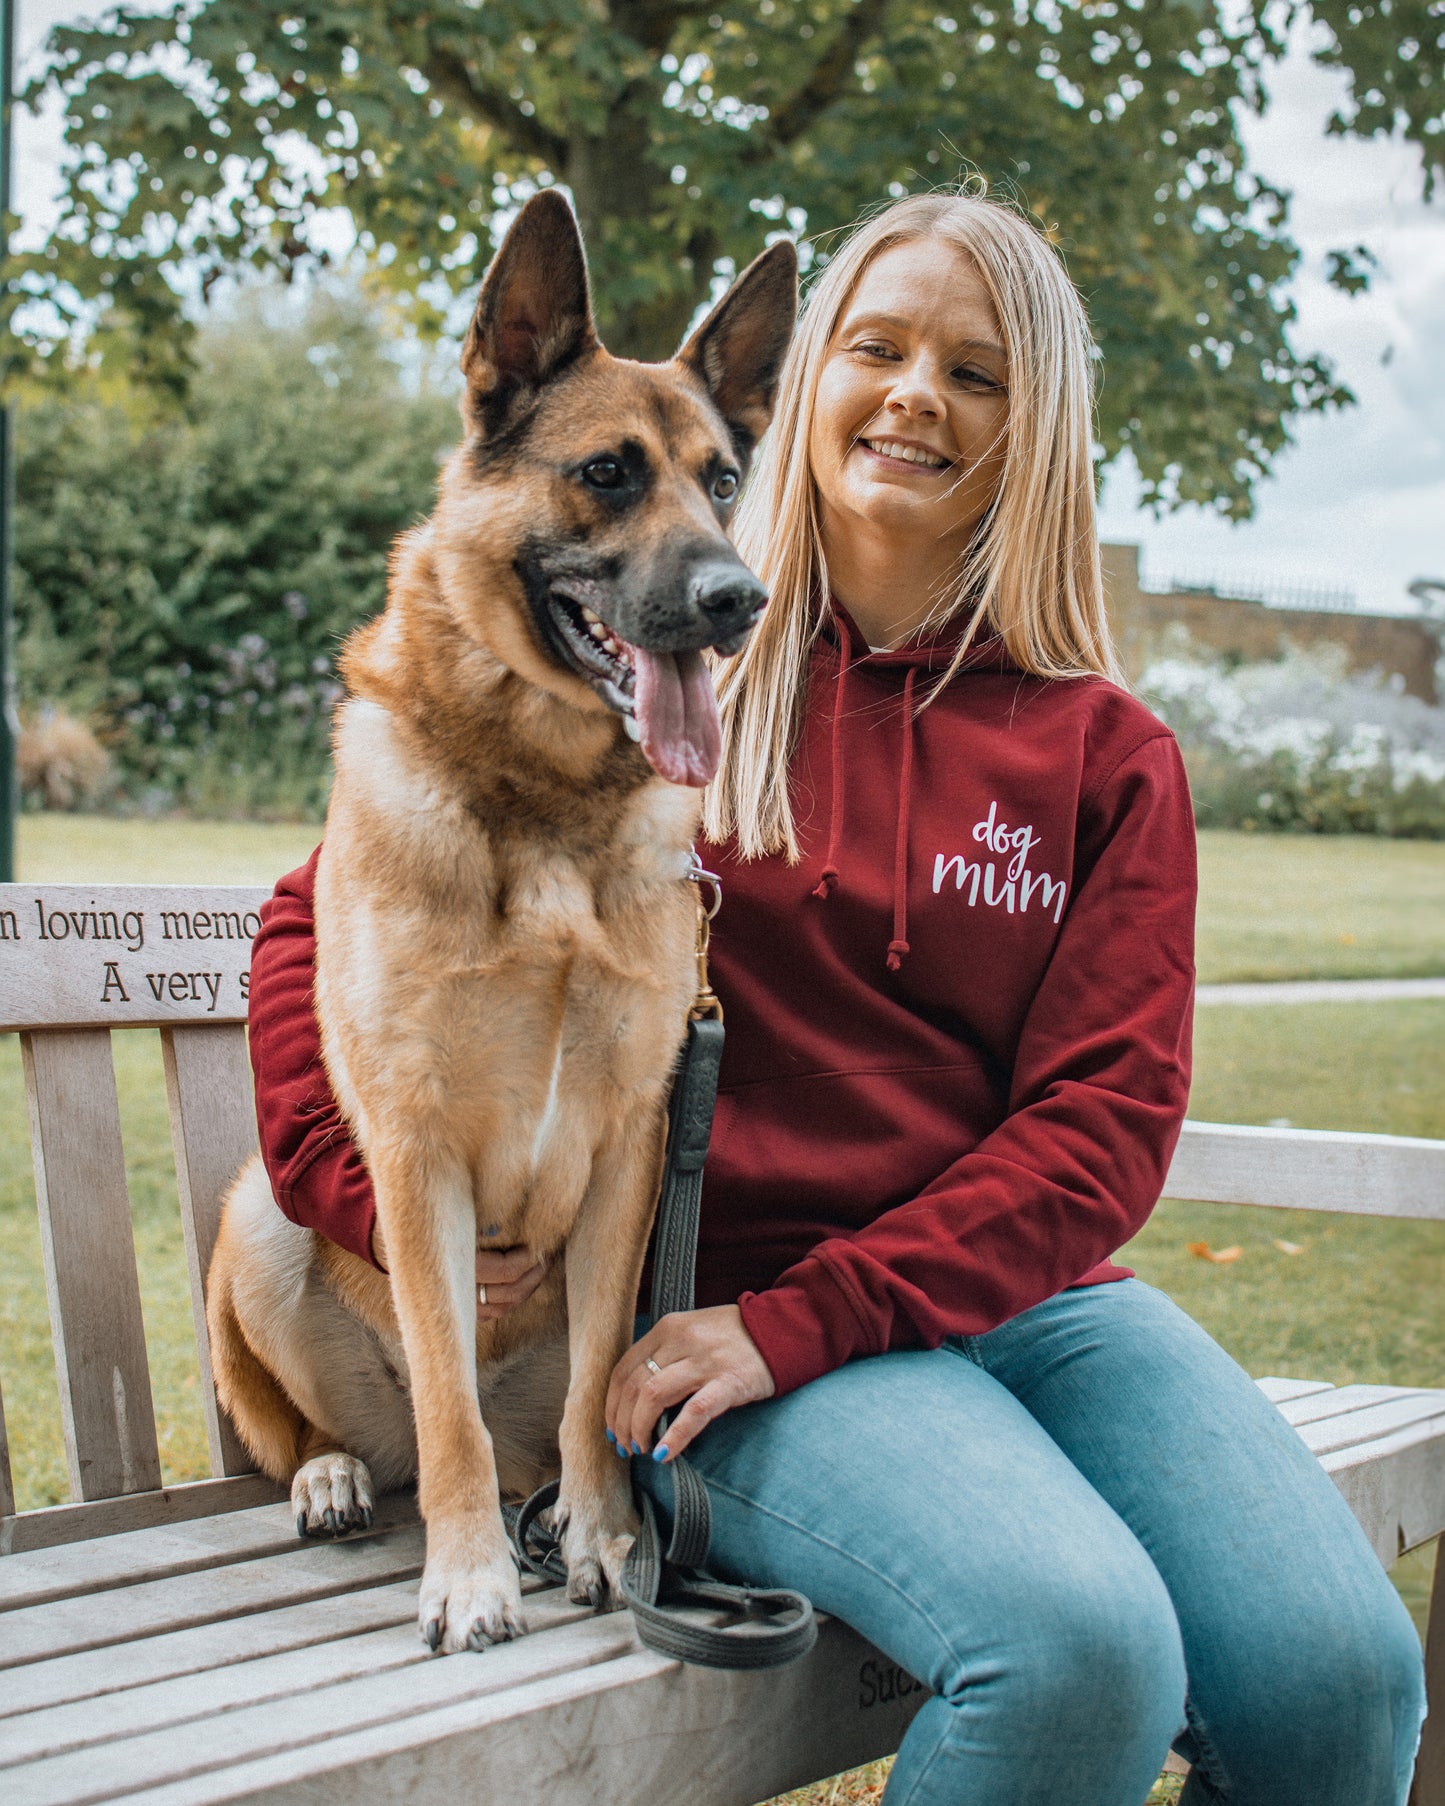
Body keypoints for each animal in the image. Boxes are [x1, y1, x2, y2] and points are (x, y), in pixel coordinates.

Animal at [207, 194, 794, 1654]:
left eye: (719, 481)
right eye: (606, 473)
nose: (736, 600)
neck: (545, 809)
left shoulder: (631, 1152)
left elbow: (592, 1394)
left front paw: (599, 1537)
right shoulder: (414, 1157)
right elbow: (449, 1407)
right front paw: (469, 1574)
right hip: (260, 1217)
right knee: (366, 1431)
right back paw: (335, 1471)